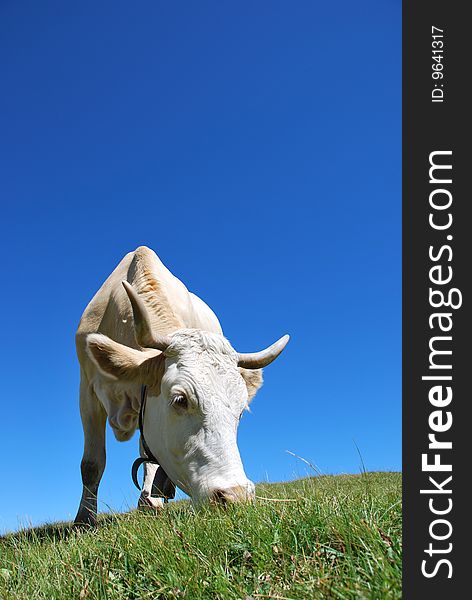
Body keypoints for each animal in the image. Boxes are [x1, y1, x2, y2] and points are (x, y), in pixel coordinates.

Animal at [74, 246, 288, 524]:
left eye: (241, 412)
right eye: (180, 400)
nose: (235, 496)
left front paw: (149, 502)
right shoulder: (87, 390)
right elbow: (92, 463)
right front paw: (84, 519)